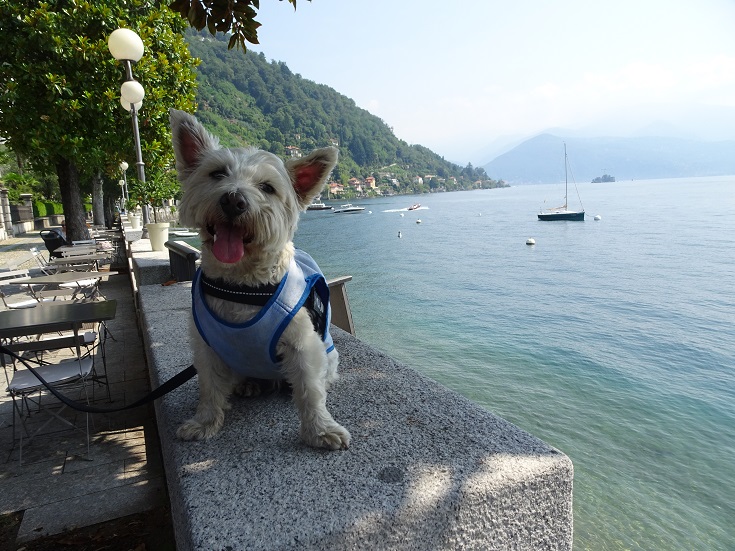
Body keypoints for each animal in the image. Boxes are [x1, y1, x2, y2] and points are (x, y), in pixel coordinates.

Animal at [170, 110, 350, 450]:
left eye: (267, 187)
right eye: (217, 173)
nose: (233, 200)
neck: (241, 284)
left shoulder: (302, 345)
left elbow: (310, 391)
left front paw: (320, 430)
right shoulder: (207, 347)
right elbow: (209, 387)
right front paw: (205, 422)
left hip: (327, 354)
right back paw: (249, 385)